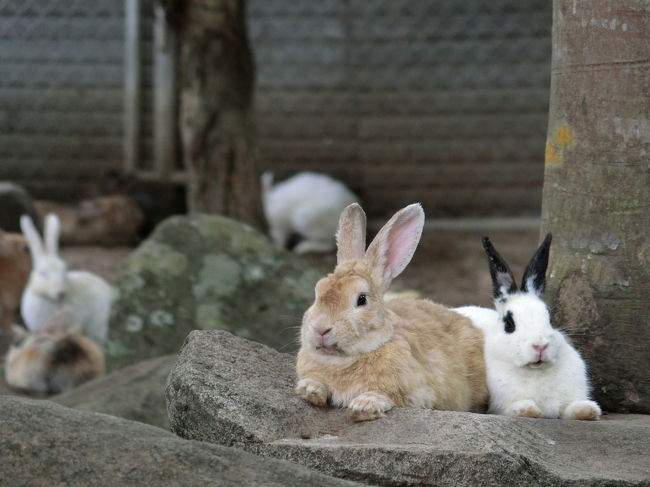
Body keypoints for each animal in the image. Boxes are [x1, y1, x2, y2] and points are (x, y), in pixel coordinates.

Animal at [294, 204, 486, 422]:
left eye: (361, 299)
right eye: (317, 292)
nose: (320, 330)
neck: (343, 360)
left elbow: (387, 396)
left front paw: (364, 406)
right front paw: (310, 390)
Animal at [454, 234, 600, 422]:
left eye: (550, 318)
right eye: (509, 324)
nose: (540, 346)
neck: (537, 371)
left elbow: (571, 409)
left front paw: (588, 410)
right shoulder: (498, 405)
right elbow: (515, 409)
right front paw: (527, 409)